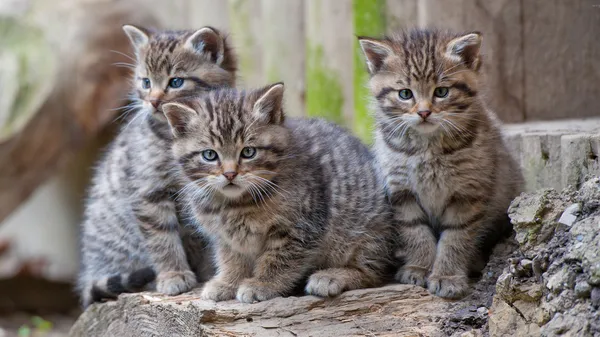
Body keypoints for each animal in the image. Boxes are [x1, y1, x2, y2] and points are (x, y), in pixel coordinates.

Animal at [78, 25, 238, 306]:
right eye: (146, 82)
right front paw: (173, 275)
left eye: (176, 82)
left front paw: (213, 273)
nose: (152, 101)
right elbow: (162, 239)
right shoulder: (148, 191)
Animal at [162, 83, 394, 302]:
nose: (230, 174)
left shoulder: (301, 225)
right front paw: (228, 281)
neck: (235, 203)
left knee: (373, 272)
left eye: (248, 152)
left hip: (367, 231)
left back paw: (332, 276)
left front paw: (262, 284)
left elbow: (279, 259)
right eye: (209, 155)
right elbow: (231, 258)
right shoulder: (225, 237)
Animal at [358, 27, 524, 298]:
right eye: (405, 94)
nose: (424, 112)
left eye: (441, 92)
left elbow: (455, 237)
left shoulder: (468, 192)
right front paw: (419, 267)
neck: (428, 149)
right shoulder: (401, 191)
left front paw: (447, 275)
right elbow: (415, 231)